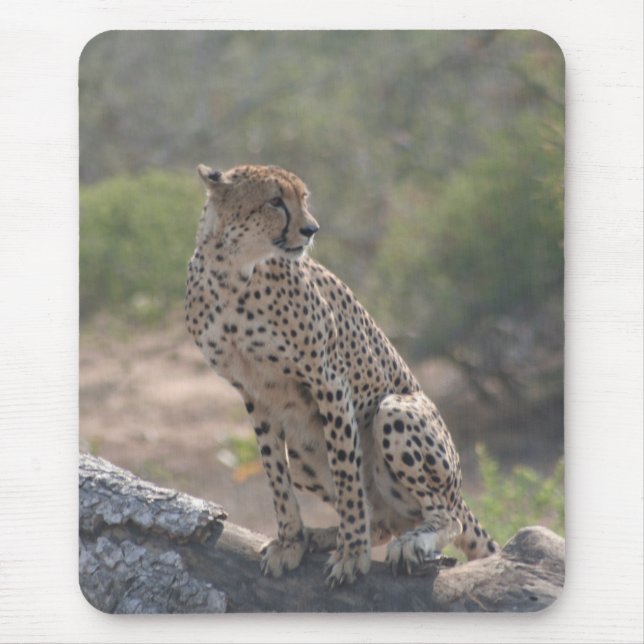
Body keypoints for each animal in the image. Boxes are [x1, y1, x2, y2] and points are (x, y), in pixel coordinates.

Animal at [185, 163, 499, 587]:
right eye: (275, 201)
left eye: (303, 198)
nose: (311, 229)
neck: (233, 271)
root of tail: (458, 492)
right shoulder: (254, 393)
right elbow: (274, 473)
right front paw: (291, 541)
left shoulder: (328, 380)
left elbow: (348, 476)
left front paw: (352, 553)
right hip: (303, 450)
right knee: (388, 520)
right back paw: (320, 536)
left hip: (396, 411)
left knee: (445, 518)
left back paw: (410, 542)